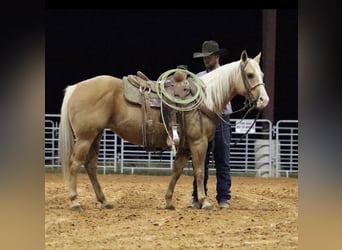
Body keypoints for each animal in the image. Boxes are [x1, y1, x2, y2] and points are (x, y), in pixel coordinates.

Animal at [58, 49, 268, 210]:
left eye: (262, 75)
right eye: (250, 75)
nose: (264, 100)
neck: (205, 98)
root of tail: (76, 88)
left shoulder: (185, 146)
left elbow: (177, 171)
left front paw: (169, 201)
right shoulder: (198, 142)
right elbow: (200, 171)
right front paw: (204, 202)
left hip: (95, 136)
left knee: (90, 166)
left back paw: (104, 201)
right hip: (85, 137)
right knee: (75, 164)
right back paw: (75, 201)